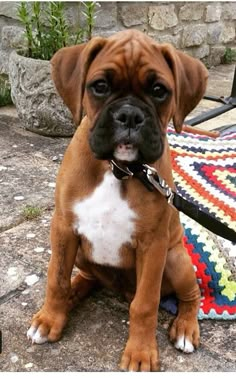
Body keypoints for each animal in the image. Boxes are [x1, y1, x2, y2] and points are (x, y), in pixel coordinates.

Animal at [27, 30, 208, 374]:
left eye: (159, 91)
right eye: (99, 86)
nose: (130, 115)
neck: (118, 168)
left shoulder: (153, 245)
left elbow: (145, 304)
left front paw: (141, 352)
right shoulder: (64, 228)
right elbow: (56, 279)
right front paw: (49, 319)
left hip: (175, 258)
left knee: (190, 296)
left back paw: (185, 328)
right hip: (81, 252)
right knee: (84, 277)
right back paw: (73, 295)